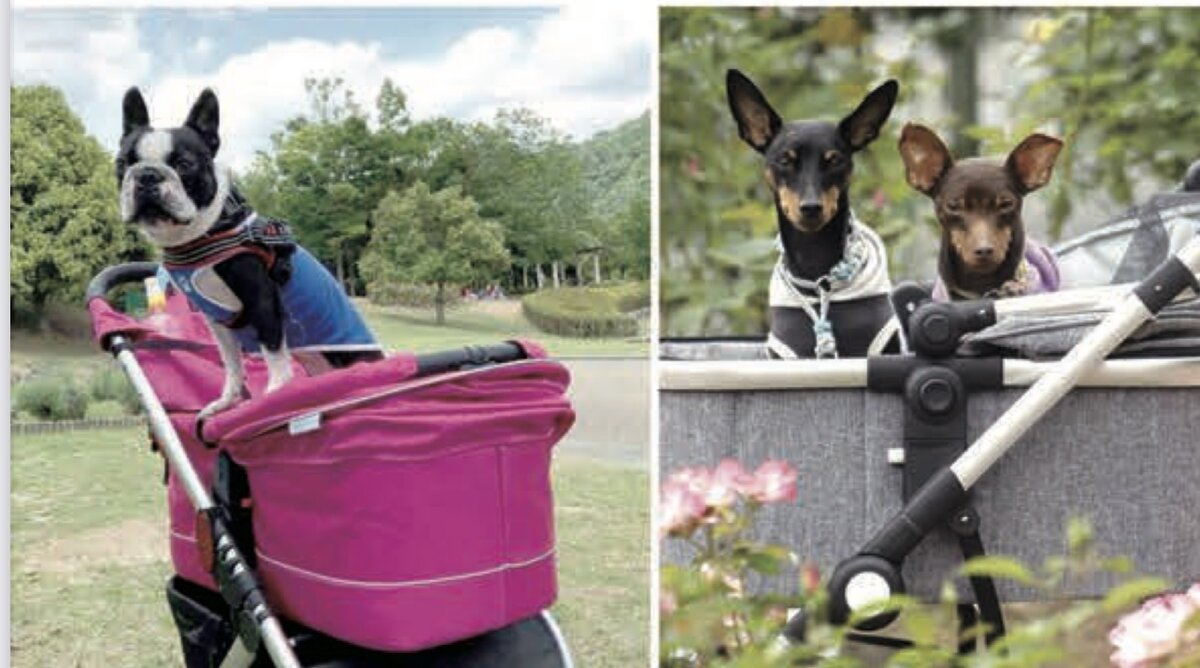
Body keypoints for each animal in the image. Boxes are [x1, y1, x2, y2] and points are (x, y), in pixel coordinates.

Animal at [116, 88, 379, 417]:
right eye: (122, 163)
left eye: (185, 164)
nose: (148, 175)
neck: (202, 232)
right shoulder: (217, 321)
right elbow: (232, 363)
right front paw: (228, 402)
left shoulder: (263, 301)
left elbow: (274, 356)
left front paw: (276, 395)